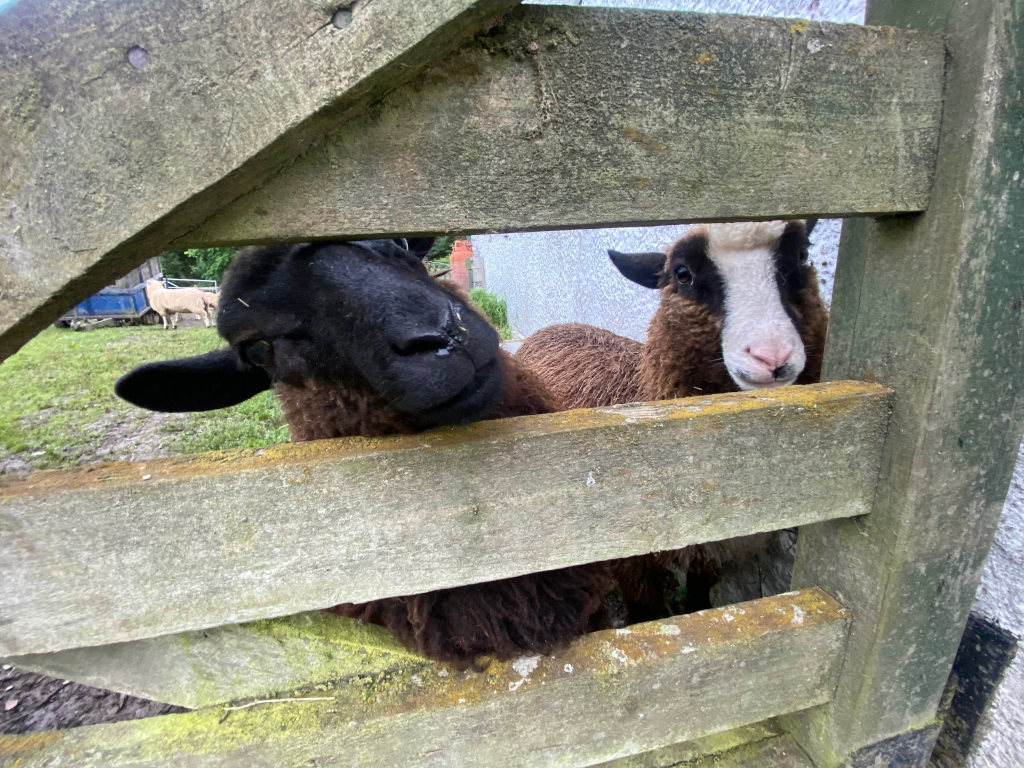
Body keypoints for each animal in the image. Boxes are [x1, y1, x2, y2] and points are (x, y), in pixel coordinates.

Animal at [515, 220, 828, 618]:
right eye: (682, 274)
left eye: (802, 254)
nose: (771, 356)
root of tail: (555, 326)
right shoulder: (632, 561)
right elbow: (647, 613)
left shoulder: (709, 552)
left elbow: (698, 599)